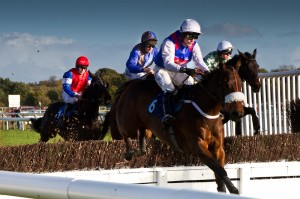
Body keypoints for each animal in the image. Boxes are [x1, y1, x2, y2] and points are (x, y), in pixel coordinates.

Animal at [100, 49, 260, 139]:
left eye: (257, 66)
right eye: (249, 67)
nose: (258, 86)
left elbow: (251, 110)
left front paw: (257, 129)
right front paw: (256, 130)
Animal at [115, 61, 244, 193]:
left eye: (240, 83)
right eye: (226, 84)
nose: (238, 113)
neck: (206, 110)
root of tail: (132, 84)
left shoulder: (218, 148)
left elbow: (219, 175)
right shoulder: (198, 146)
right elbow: (220, 170)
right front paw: (234, 189)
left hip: (143, 126)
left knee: (142, 141)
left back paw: (137, 151)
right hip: (128, 124)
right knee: (123, 132)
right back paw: (128, 153)